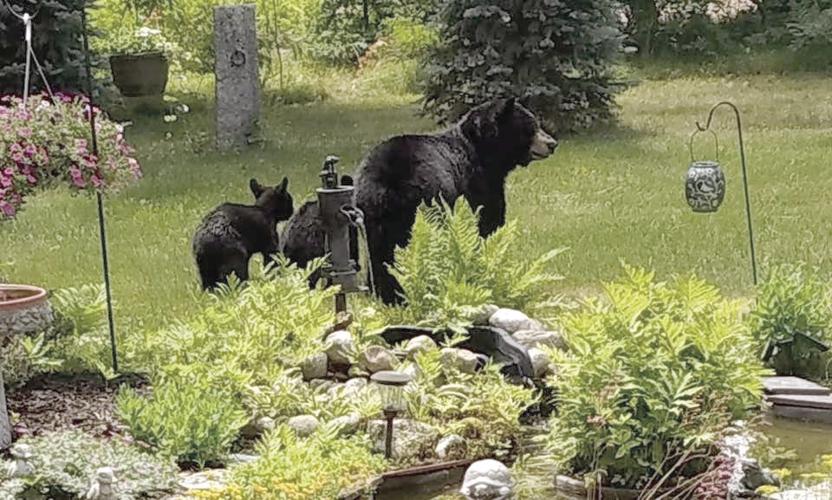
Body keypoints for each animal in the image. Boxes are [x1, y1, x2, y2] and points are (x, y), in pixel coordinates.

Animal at [281, 97, 557, 303]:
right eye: (532, 126)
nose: (552, 143)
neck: (482, 151)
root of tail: (386, 183)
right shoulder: (478, 185)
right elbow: (487, 224)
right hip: (428, 205)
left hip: (372, 216)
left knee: (380, 255)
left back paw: (385, 293)